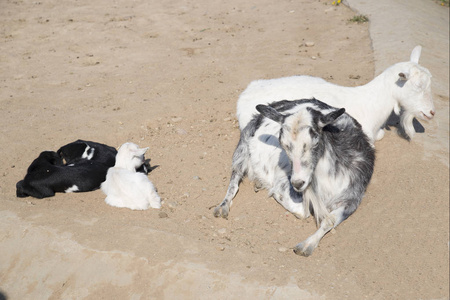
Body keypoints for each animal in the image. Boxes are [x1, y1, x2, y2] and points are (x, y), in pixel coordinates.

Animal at [213, 99, 374, 256]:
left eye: (315, 143)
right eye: (283, 145)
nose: (297, 183)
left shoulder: (352, 198)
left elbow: (330, 220)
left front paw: (306, 246)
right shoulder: (286, 184)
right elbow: (304, 211)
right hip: (242, 149)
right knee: (234, 180)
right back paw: (222, 207)